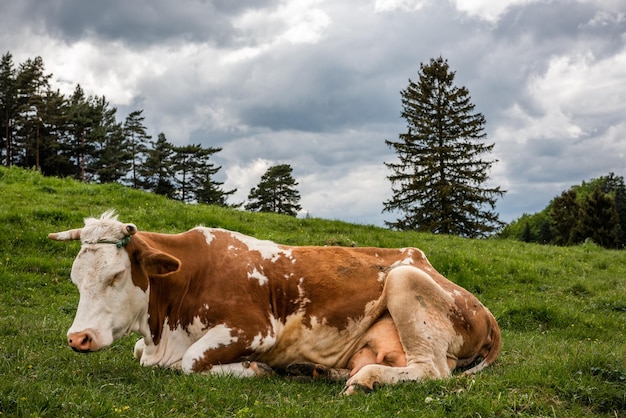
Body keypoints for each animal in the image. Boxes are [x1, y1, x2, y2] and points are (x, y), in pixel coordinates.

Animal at [46, 211, 500, 394]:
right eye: (75, 279)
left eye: (116, 276)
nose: (78, 338)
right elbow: (141, 354)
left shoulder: (254, 328)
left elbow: (191, 362)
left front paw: (254, 369)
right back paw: (313, 370)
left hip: (407, 281)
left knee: (431, 371)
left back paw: (366, 379)